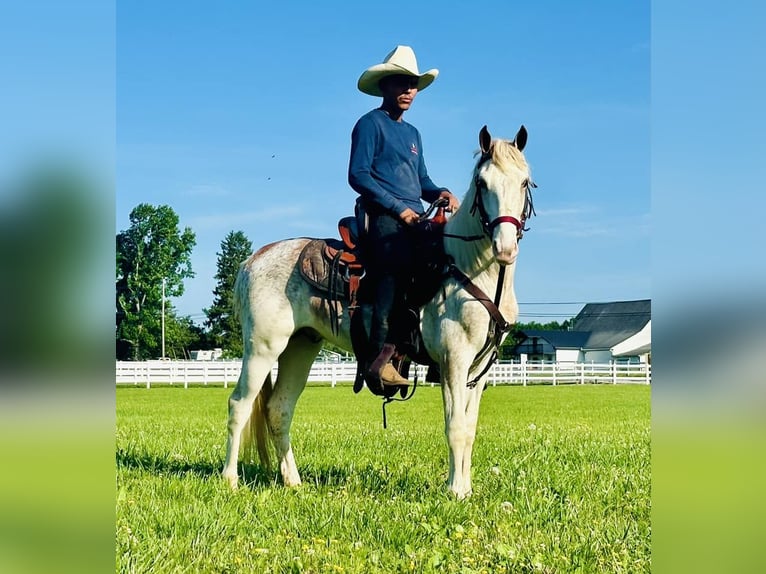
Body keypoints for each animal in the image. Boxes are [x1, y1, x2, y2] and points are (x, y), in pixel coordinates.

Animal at [220, 126, 536, 500]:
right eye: (482, 183)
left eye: (524, 182)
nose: (505, 247)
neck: (467, 267)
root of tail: (253, 260)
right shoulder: (453, 359)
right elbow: (456, 426)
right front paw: (456, 491)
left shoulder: (479, 367)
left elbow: (470, 428)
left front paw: (465, 488)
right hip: (262, 348)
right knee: (239, 405)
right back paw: (229, 479)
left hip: (300, 347)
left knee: (279, 410)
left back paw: (293, 481)